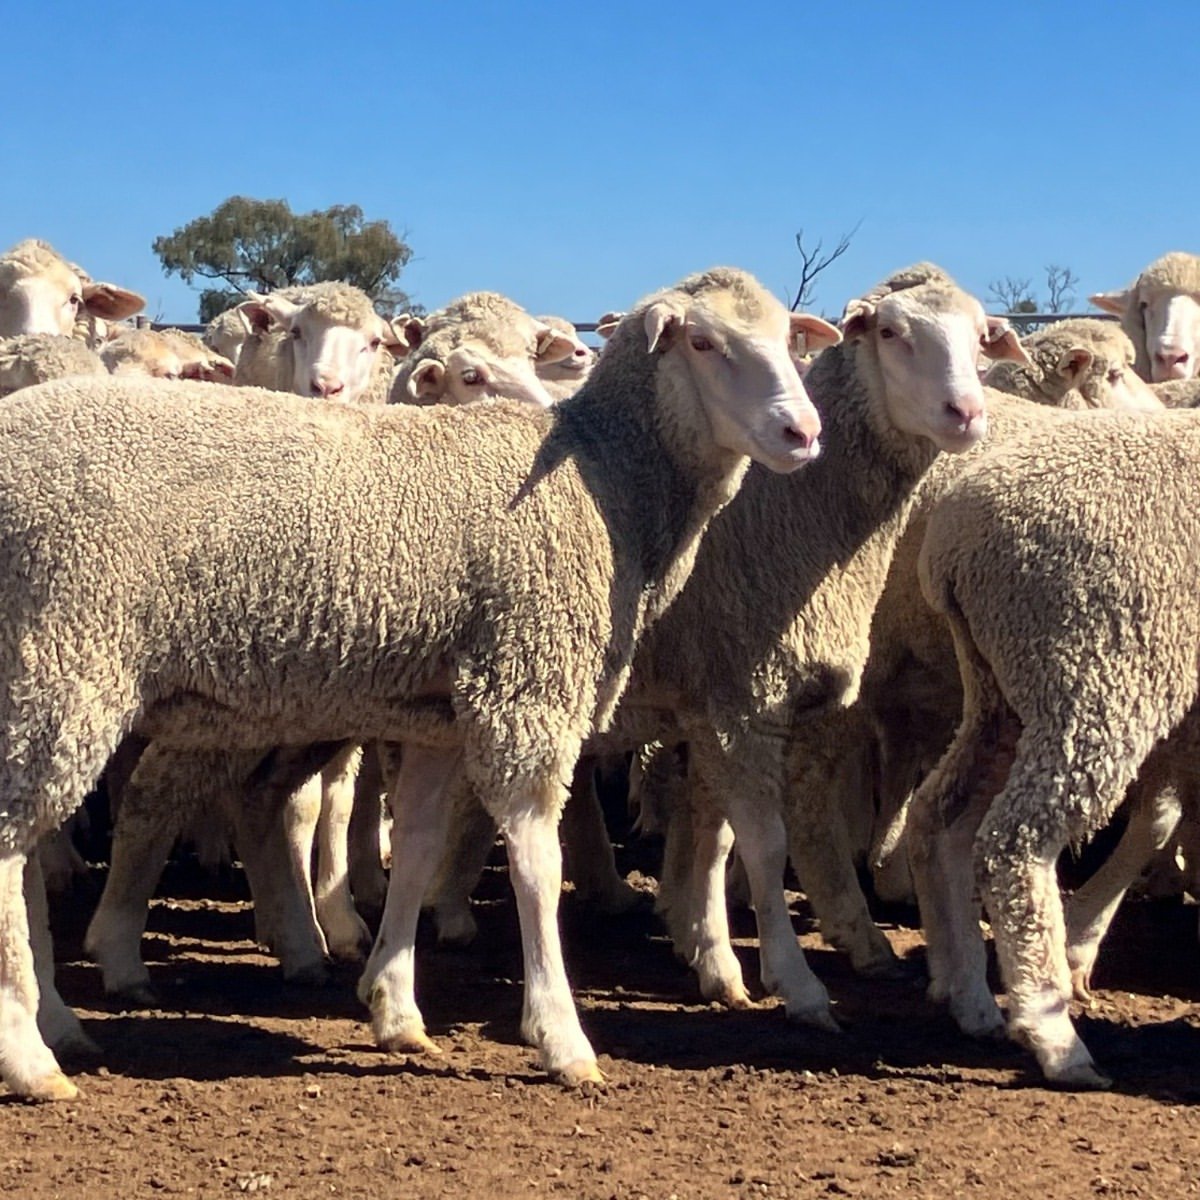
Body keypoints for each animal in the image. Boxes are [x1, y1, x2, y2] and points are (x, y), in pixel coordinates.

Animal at [905, 407, 1200, 1089]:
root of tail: (953, 545)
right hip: (1091, 674)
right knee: (1012, 844)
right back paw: (1054, 1035)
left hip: (1002, 692)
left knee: (939, 818)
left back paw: (970, 997)